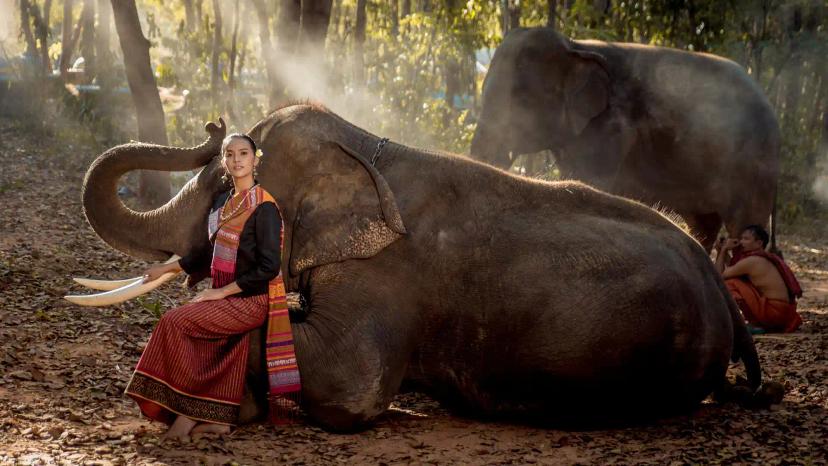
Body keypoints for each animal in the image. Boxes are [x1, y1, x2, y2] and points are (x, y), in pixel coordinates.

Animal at [470, 27, 781, 251]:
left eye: (520, 101)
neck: (576, 46)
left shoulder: (611, 126)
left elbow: (590, 182)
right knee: (703, 225)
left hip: (752, 166)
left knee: (744, 225)